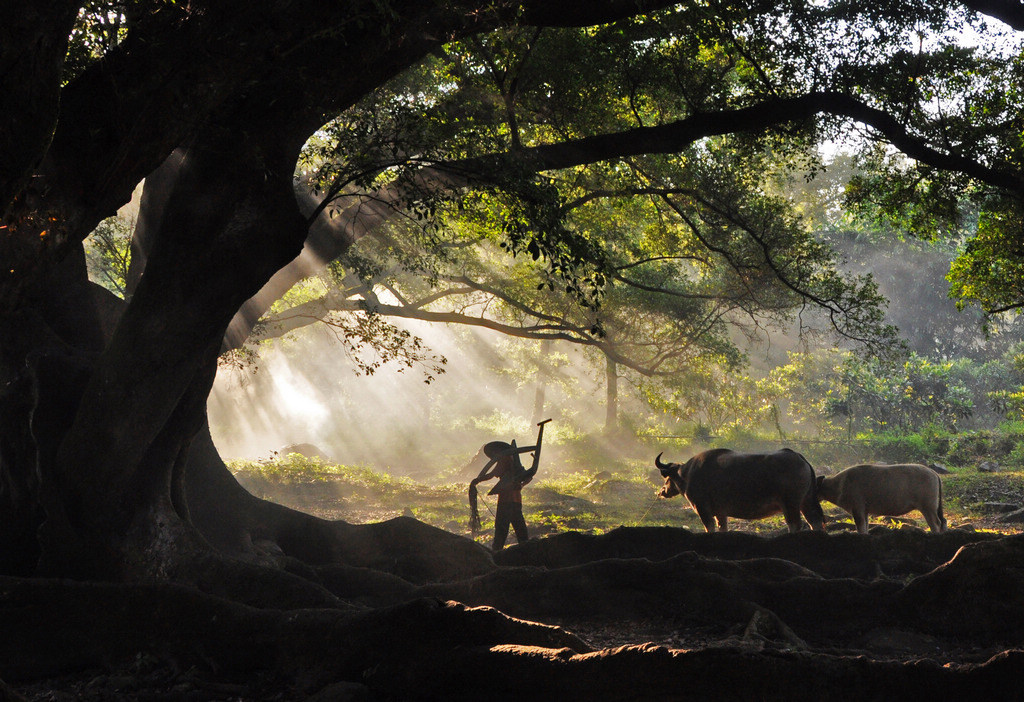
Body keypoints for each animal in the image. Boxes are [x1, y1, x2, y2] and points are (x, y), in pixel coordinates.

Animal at [655, 448, 823, 536]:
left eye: (667, 477)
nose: (662, 491)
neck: (687, 474)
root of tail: (800, 458)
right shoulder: (721, 513)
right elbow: (722, 528)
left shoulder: (703, 508)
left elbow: (709, 527)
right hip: (806, 502)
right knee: (815, 521)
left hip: (790, 504)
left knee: (795, 524)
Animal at [811, 464, 946, 536]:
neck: (840, 485)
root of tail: (934, 473)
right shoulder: (864, 511)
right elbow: (865, 526)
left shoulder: (857, 508)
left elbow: (860, 527)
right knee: (943, 521)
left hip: (928, 506)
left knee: (936, 523)